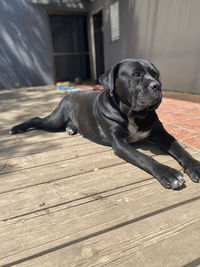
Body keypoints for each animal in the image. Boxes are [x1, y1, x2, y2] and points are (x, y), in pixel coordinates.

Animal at [10, 59, 200, 189]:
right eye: (136, 75)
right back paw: (16, 128)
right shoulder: (120, 143)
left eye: (156, 75)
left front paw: (195, 166)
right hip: (55, 120)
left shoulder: (161, 133)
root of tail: (70, 93)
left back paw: (71, 128)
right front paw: (168, 173)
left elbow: (179, 148)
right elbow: (144, 157)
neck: (132, 114)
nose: (157, 86)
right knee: (37, 119)